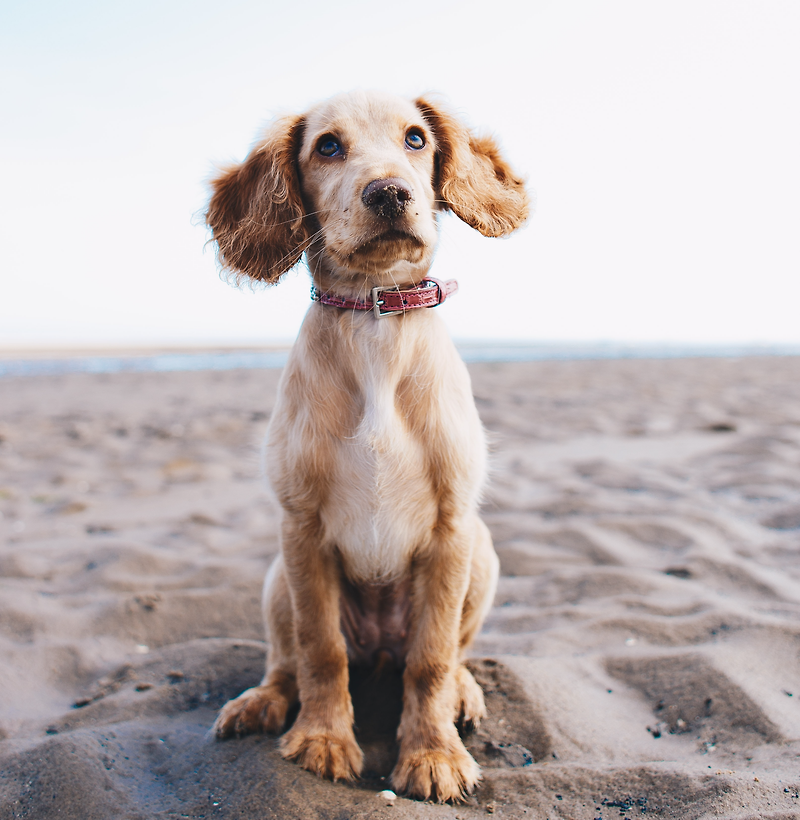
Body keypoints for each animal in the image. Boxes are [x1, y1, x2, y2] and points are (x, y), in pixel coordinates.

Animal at [209, 89, 528, 800]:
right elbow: (320, 649)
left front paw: (433, 754)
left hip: (484, 555)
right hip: (277, 577)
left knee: (448, 654)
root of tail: (379, 648)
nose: (389, 193)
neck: (374, 321)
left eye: (415, 139)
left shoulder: (452, 529)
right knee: (287, 659)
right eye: (327, 146)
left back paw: (463, 692)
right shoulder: (301, 528)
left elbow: (431, 659)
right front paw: (323, 739)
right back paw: (262, 701)